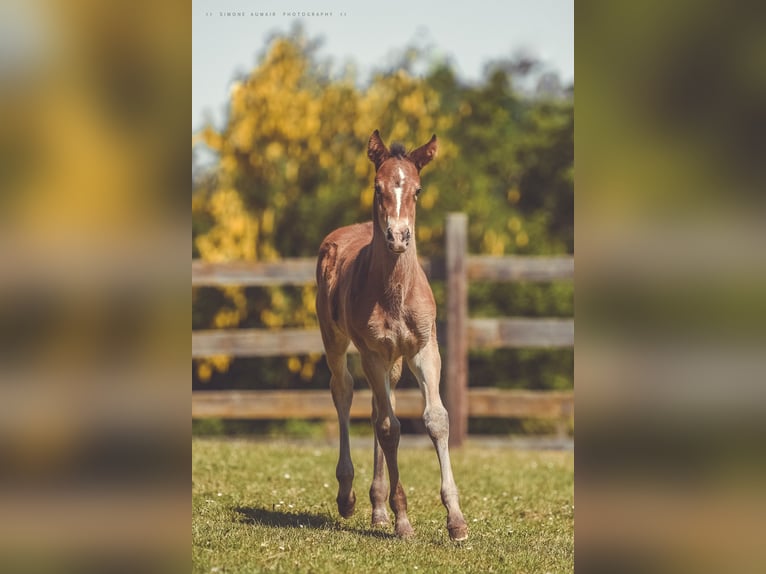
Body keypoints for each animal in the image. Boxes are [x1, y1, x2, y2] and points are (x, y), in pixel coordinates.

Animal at [316, 130, 472, 544]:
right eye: (378, 187)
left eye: (417, 190)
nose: (399, 237)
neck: (396, 292)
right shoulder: (371, 350)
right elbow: (390, 428)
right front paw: (403, 519)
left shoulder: (424, 348)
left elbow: (436, 419)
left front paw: (456, 519)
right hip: (336, 339)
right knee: (344, 392)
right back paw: (348, 497)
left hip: (395, 361)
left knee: (375, 408)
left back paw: (377, 508)